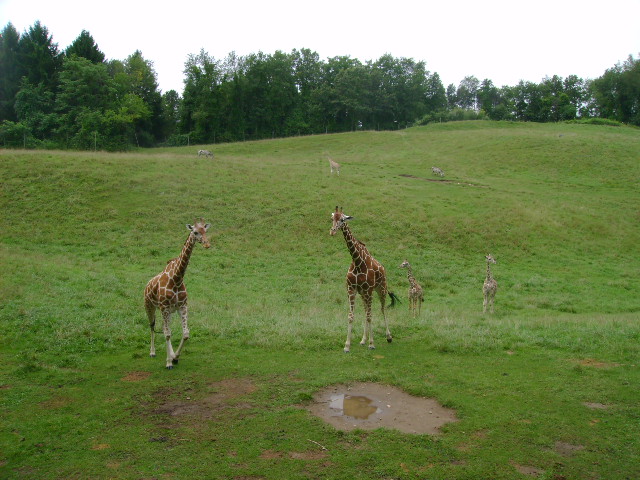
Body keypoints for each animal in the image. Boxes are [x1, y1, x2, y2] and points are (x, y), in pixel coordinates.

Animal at [144, 218, 211, 369]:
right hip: (150, 306)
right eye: (195, 232)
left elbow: (185, 333)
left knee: (164, 328)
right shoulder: (164, 307)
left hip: (168, 311)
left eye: (205, 230)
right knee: (153, 326)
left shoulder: (182, 306)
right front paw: (169, 362)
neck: (176, 278)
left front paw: (175, 357)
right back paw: (152, 352)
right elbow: (168, 334)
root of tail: (147, 285)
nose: (207, 244)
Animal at [330, 206, 400, 352]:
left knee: (382, 309)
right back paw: (363, 340)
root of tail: (383, 269)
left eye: (342, 219)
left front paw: (372, 343)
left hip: (380, 289)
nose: (332, 231)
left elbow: (370, 315)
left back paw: (388, 337)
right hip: (363, 294)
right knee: (366, 309)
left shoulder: (368, 290)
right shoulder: (351, 289)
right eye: (332, 218)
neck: (357, 261)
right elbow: (351, 316)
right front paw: (347, 345)